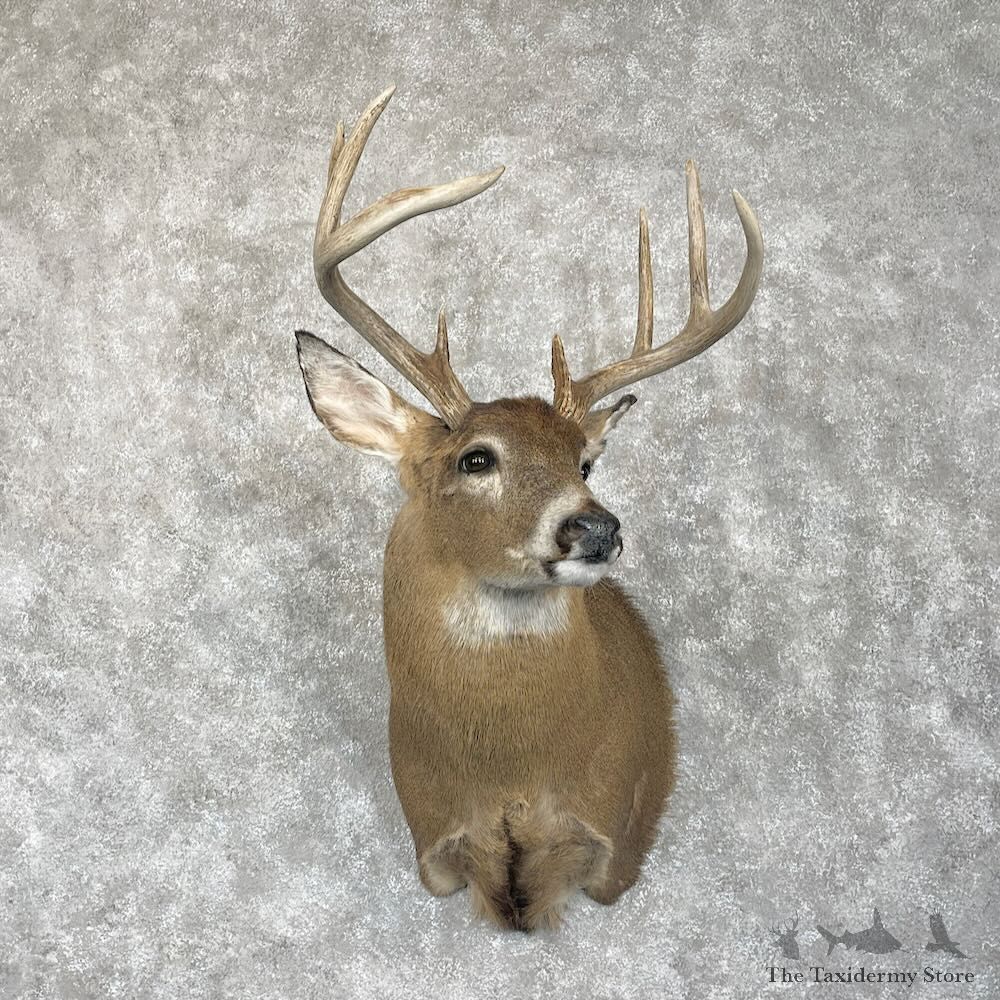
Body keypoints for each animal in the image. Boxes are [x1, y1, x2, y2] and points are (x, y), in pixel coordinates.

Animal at [294, 86, 762, 931]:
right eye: (475, 458)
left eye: (585, 461)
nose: (596, 526)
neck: (511, 775)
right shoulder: (432, 845)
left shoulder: (616, 841)